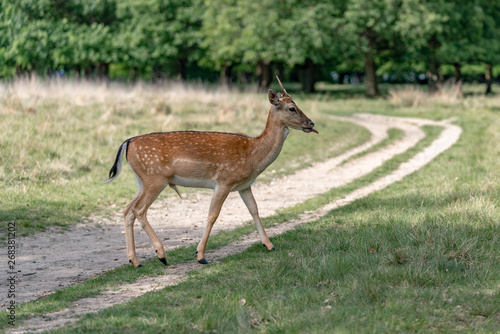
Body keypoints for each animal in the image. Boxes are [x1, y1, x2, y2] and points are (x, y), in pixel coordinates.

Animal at [105, 77, 316, 268]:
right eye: (292, 108)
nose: (311, 123)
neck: (253, 154)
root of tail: (127, 143)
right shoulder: (224, 181)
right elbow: (213, 215)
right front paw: (200, 256)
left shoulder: (244, 185)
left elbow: (254, 209)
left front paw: (269, 245)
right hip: (155, 178)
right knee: (139, 209)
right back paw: (161, 254)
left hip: (142, 180)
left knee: (127, 209)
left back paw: (135, 261)